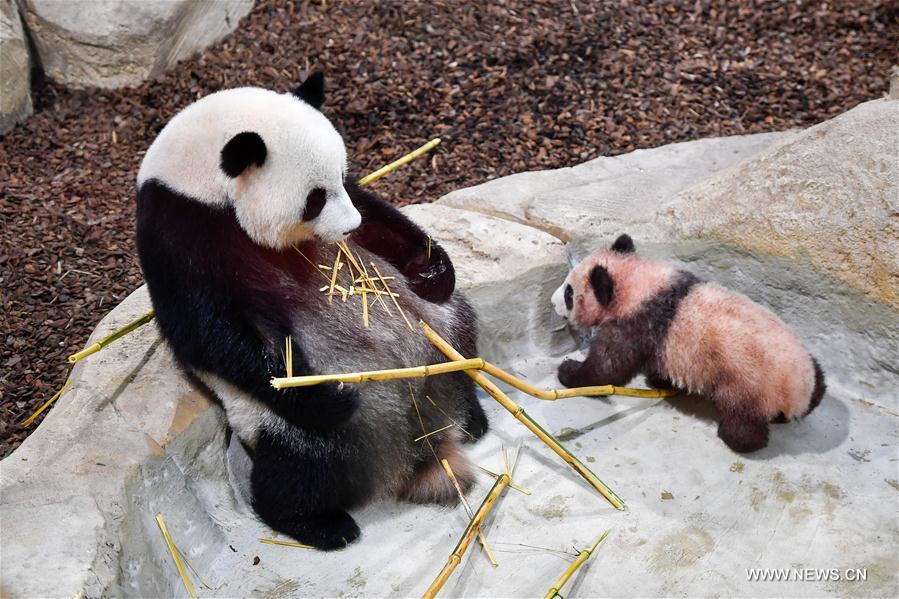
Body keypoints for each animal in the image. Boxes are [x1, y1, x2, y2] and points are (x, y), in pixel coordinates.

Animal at [134, 72, 488, 552]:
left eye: (339, 176)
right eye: (314, 198)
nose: (349, 227)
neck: (199, 181)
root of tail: (419, 445)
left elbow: (378, 215)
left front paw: (432, 268)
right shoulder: (178, 234)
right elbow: (209, 332)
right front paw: (325, 398)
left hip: (436, 330)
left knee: (459, 339)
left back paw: (472, 416)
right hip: (278, 420)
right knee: (305, 460)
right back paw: (318, 523)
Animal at [548, 234, 824, 454]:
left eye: (569, 293)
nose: (552, 302)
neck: (637, 283)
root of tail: (796, 394)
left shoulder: (637, 322)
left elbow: (608, 367)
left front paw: (569, 371)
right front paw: (659, 380)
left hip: (746, 385)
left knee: (743, 420)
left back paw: (737, 439)